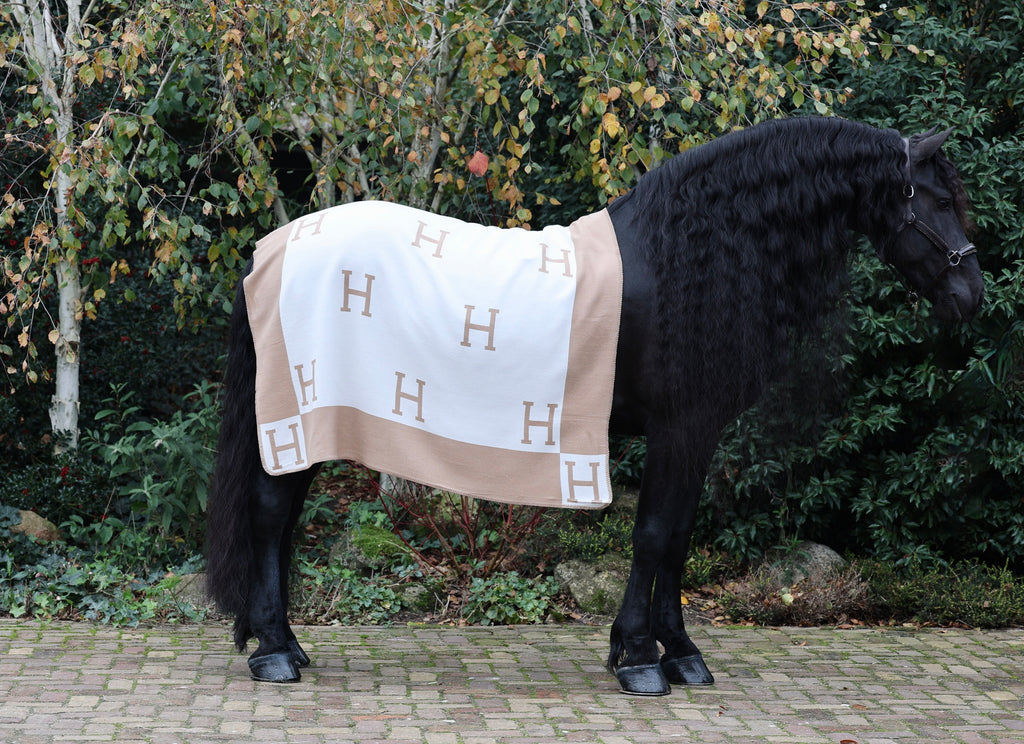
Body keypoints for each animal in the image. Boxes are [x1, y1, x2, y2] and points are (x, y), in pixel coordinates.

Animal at [205, 116, 984, 696]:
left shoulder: (695, 436)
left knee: (280, 524)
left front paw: (677, 652)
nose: (971, 296)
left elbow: (678, 540)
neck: (687, 255)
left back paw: (288, 646)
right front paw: (641, 659)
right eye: (937, 200)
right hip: (296, 420)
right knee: (271, 519)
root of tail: (270, 250)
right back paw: (273, 654)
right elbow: (657, 536)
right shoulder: (679, 429)